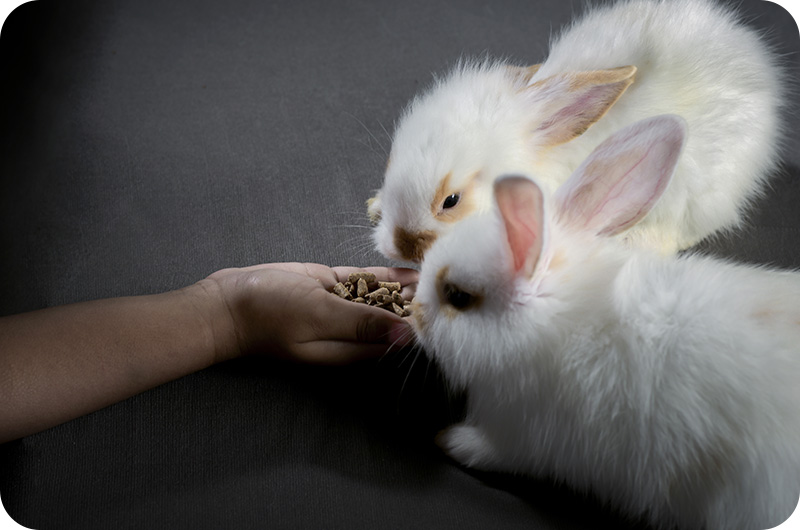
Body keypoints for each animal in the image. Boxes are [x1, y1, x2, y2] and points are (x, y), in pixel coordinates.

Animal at [410, 114, 800, 530]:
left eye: (458, 297)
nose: (414, 311)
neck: (558, 325)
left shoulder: (524, 436)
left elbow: (489, 451)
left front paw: (449, 440)